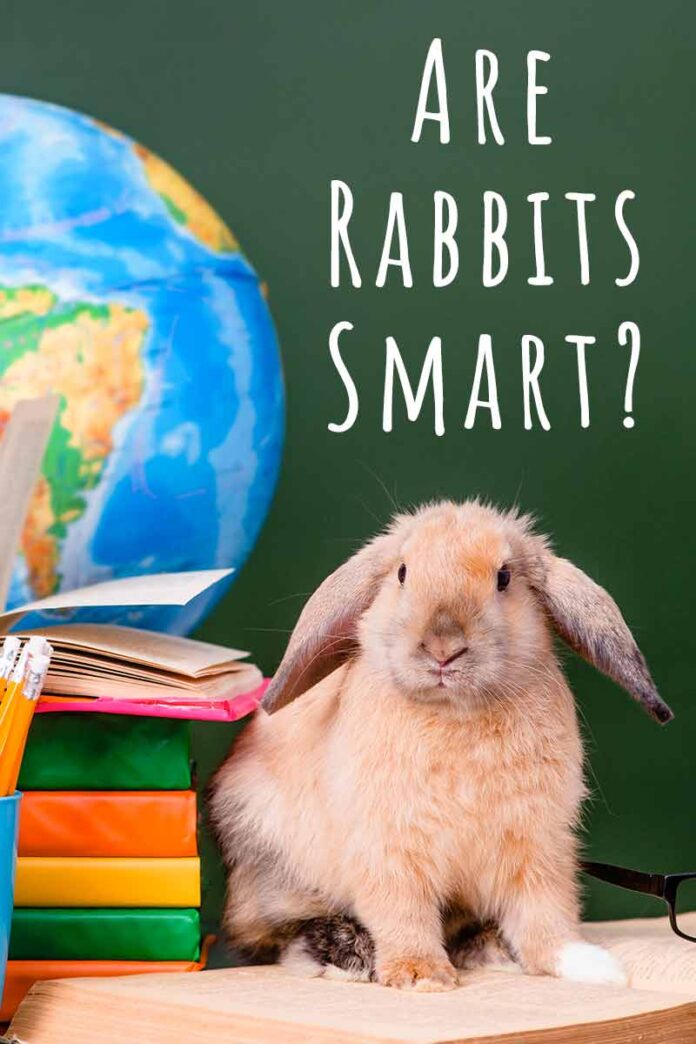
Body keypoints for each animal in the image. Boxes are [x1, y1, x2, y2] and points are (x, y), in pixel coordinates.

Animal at [209, 500, 672, 992]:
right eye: (403, 572)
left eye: (504, 577)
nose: (443, 647)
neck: (456, 712)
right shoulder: (390, 848)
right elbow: (402, 911)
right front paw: (420, 975)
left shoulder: (537, 846)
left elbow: (545, 914)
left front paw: (589, 966)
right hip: (273, 863)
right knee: (277, 932)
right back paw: (347, 953)